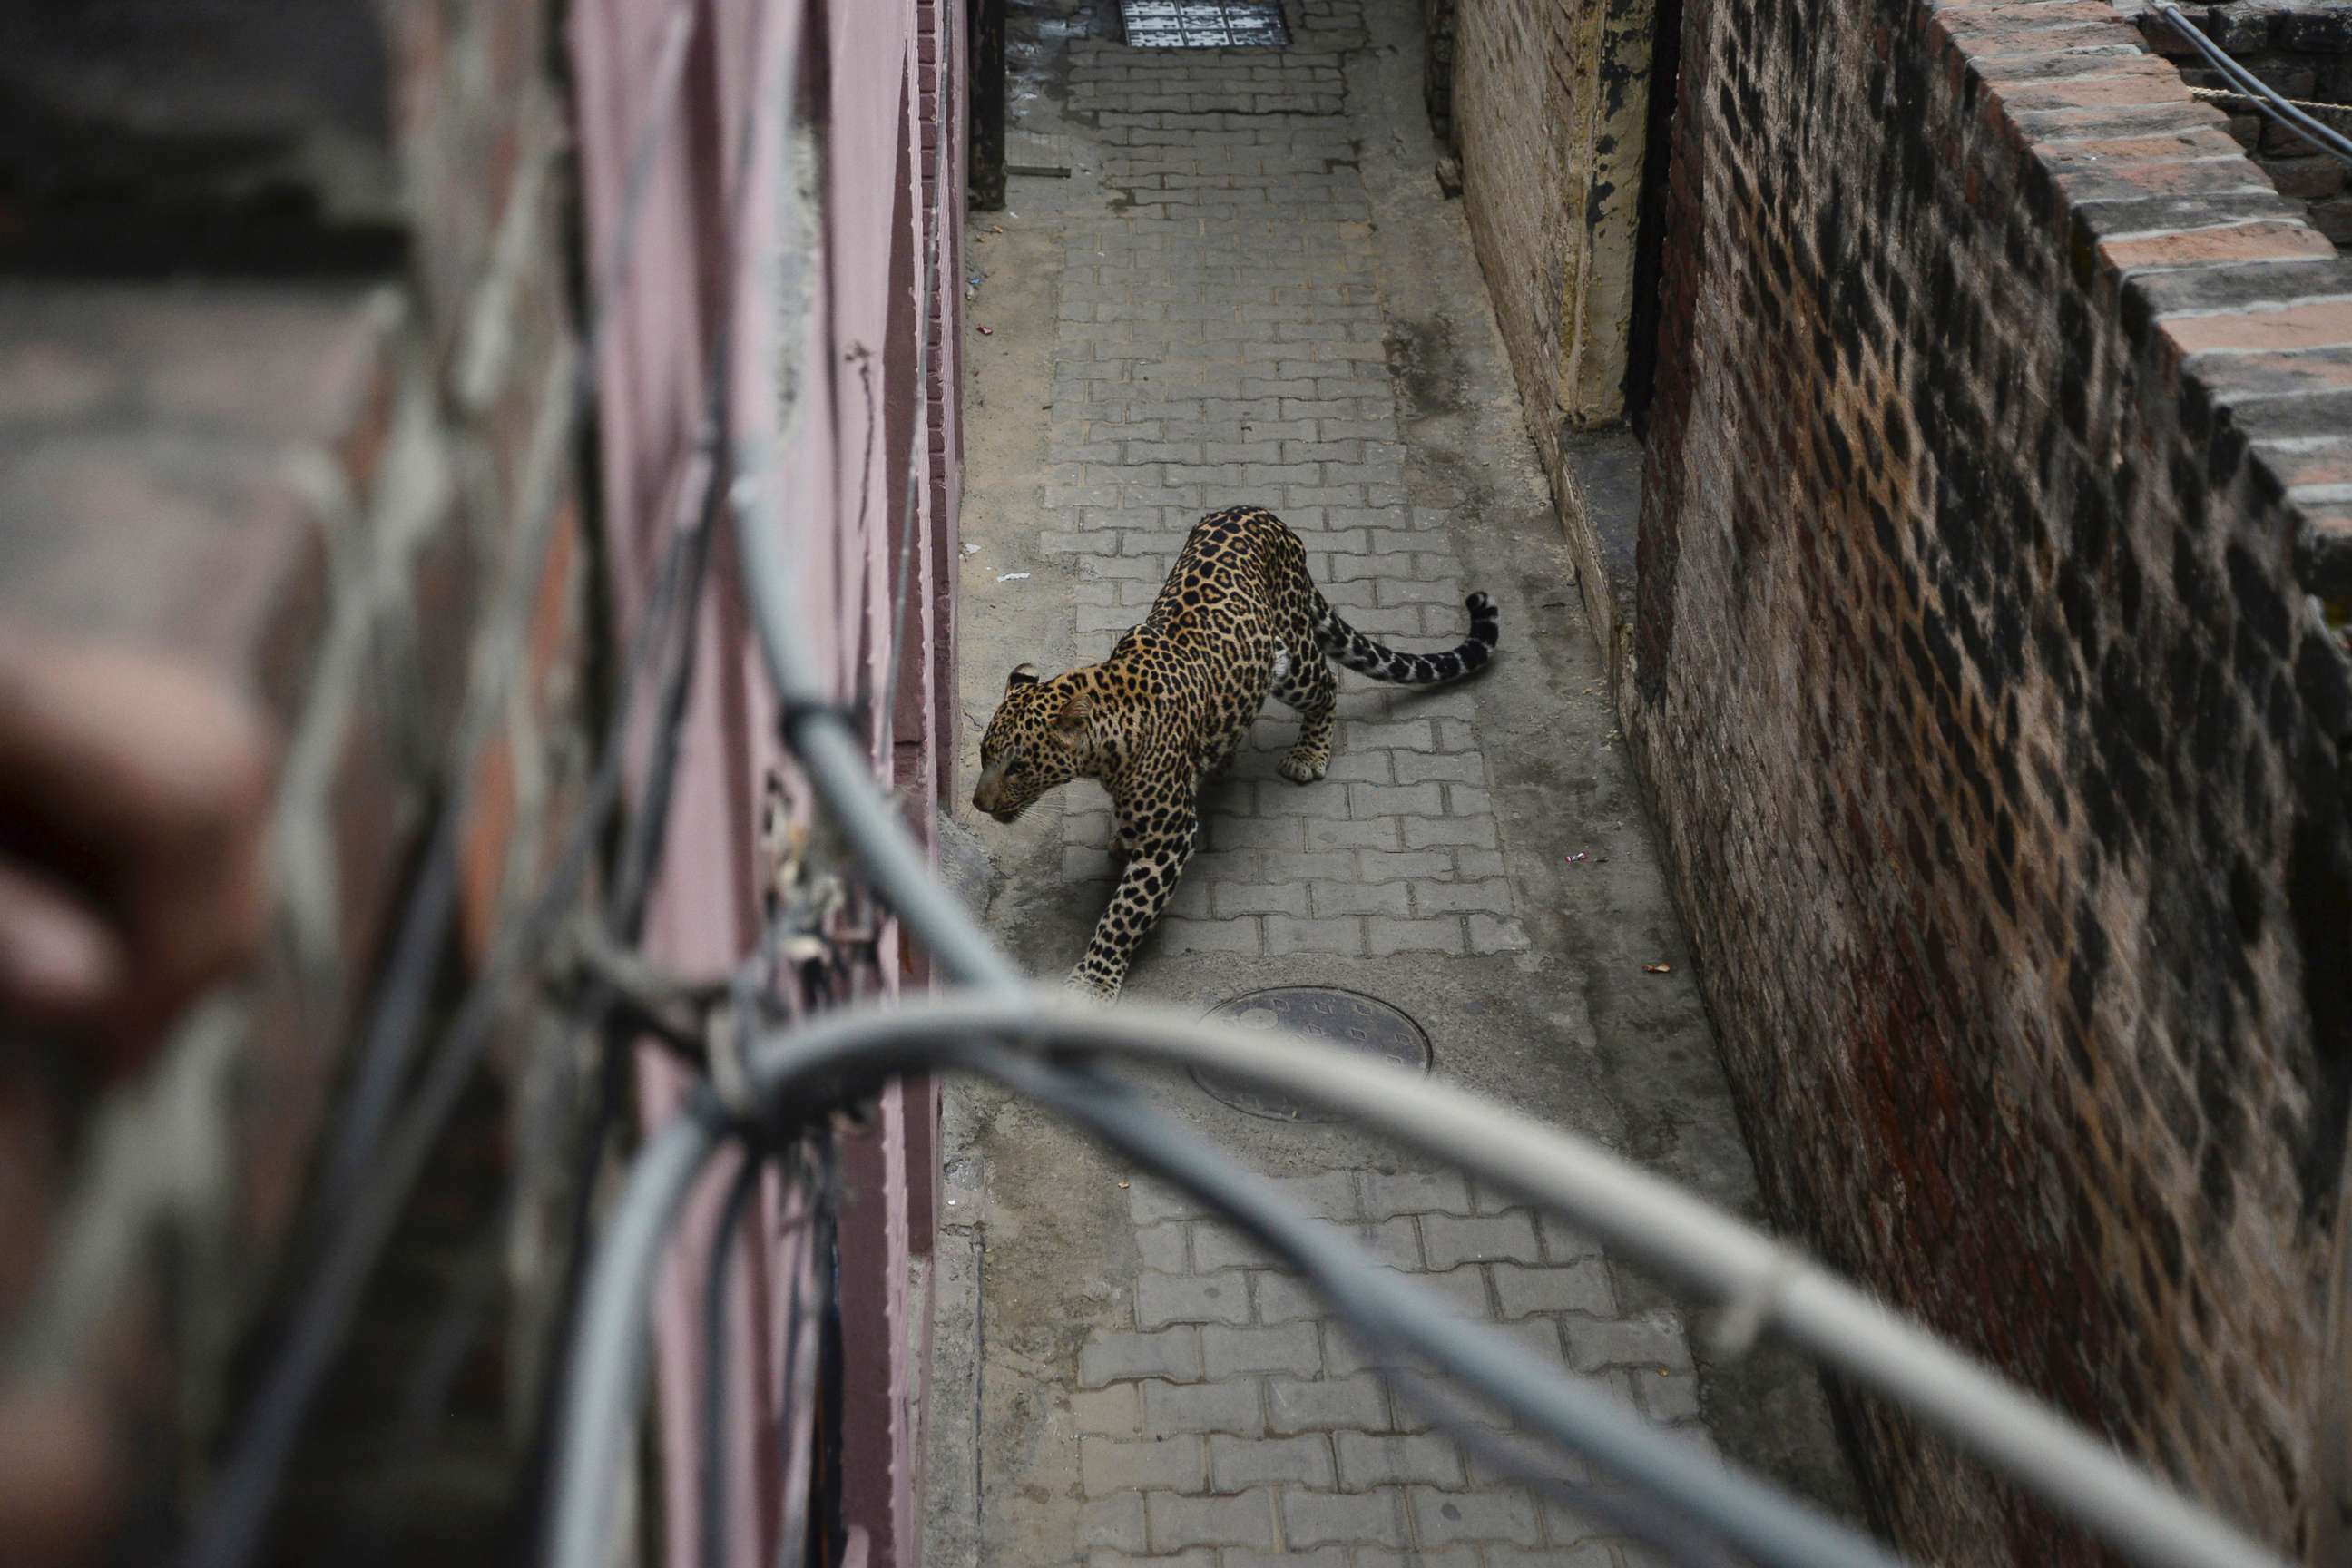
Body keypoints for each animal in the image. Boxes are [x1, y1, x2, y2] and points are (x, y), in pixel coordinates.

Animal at [974, 505, 1504, 1005]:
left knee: (1327, 683)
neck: (1107, 733)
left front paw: (1093, 981)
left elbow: (1124, 913)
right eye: (983, 755)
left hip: (1290, 659)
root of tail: (1263, 514)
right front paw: (1124, 838)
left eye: (1017, 766)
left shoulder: (1171, 837)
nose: (979, 805)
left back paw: (1308, 754)